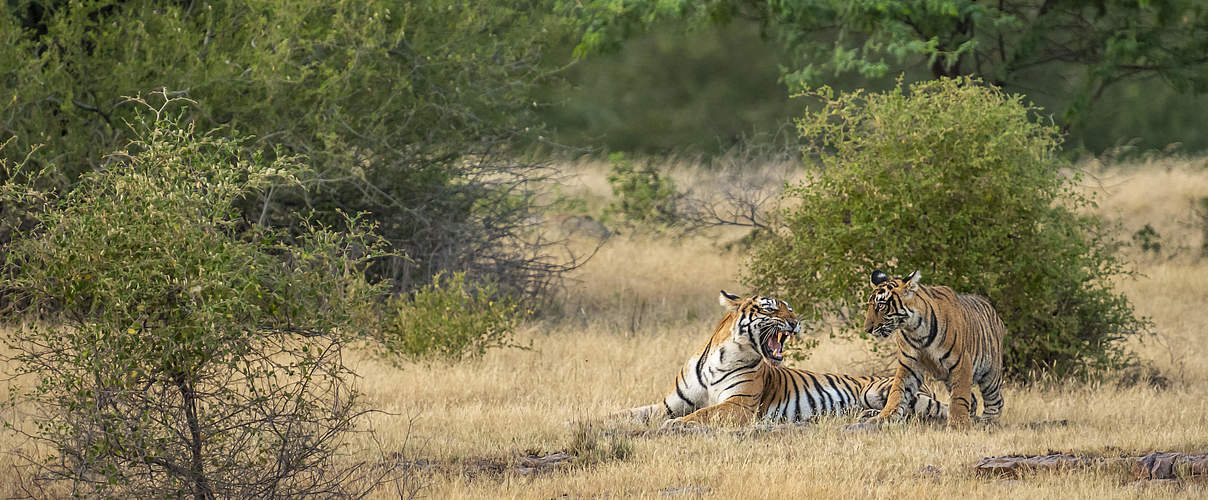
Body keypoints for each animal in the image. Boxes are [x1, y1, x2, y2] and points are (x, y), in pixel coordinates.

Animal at [618, 291, 947, 427]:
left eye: (788, 308)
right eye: (770, 308)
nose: (796, 321)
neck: (722, 358)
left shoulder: (738, 404)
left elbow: (702, 414)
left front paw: (675, 425)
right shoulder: (669, 402)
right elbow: (634, 412)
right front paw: (609, 418)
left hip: (881, 390)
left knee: (918, 411)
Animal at [864, 269, 1005, 429]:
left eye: (881, 306)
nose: (867, 329)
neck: (915, 329)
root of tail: (993, 310)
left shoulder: (961, 363)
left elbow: (959, 397)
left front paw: (958, 425)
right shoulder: (909, 364)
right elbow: (897, 391)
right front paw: (884, 417)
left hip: (990, 374)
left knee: (996, 401)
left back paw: (988, 423)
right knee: (974, 398)